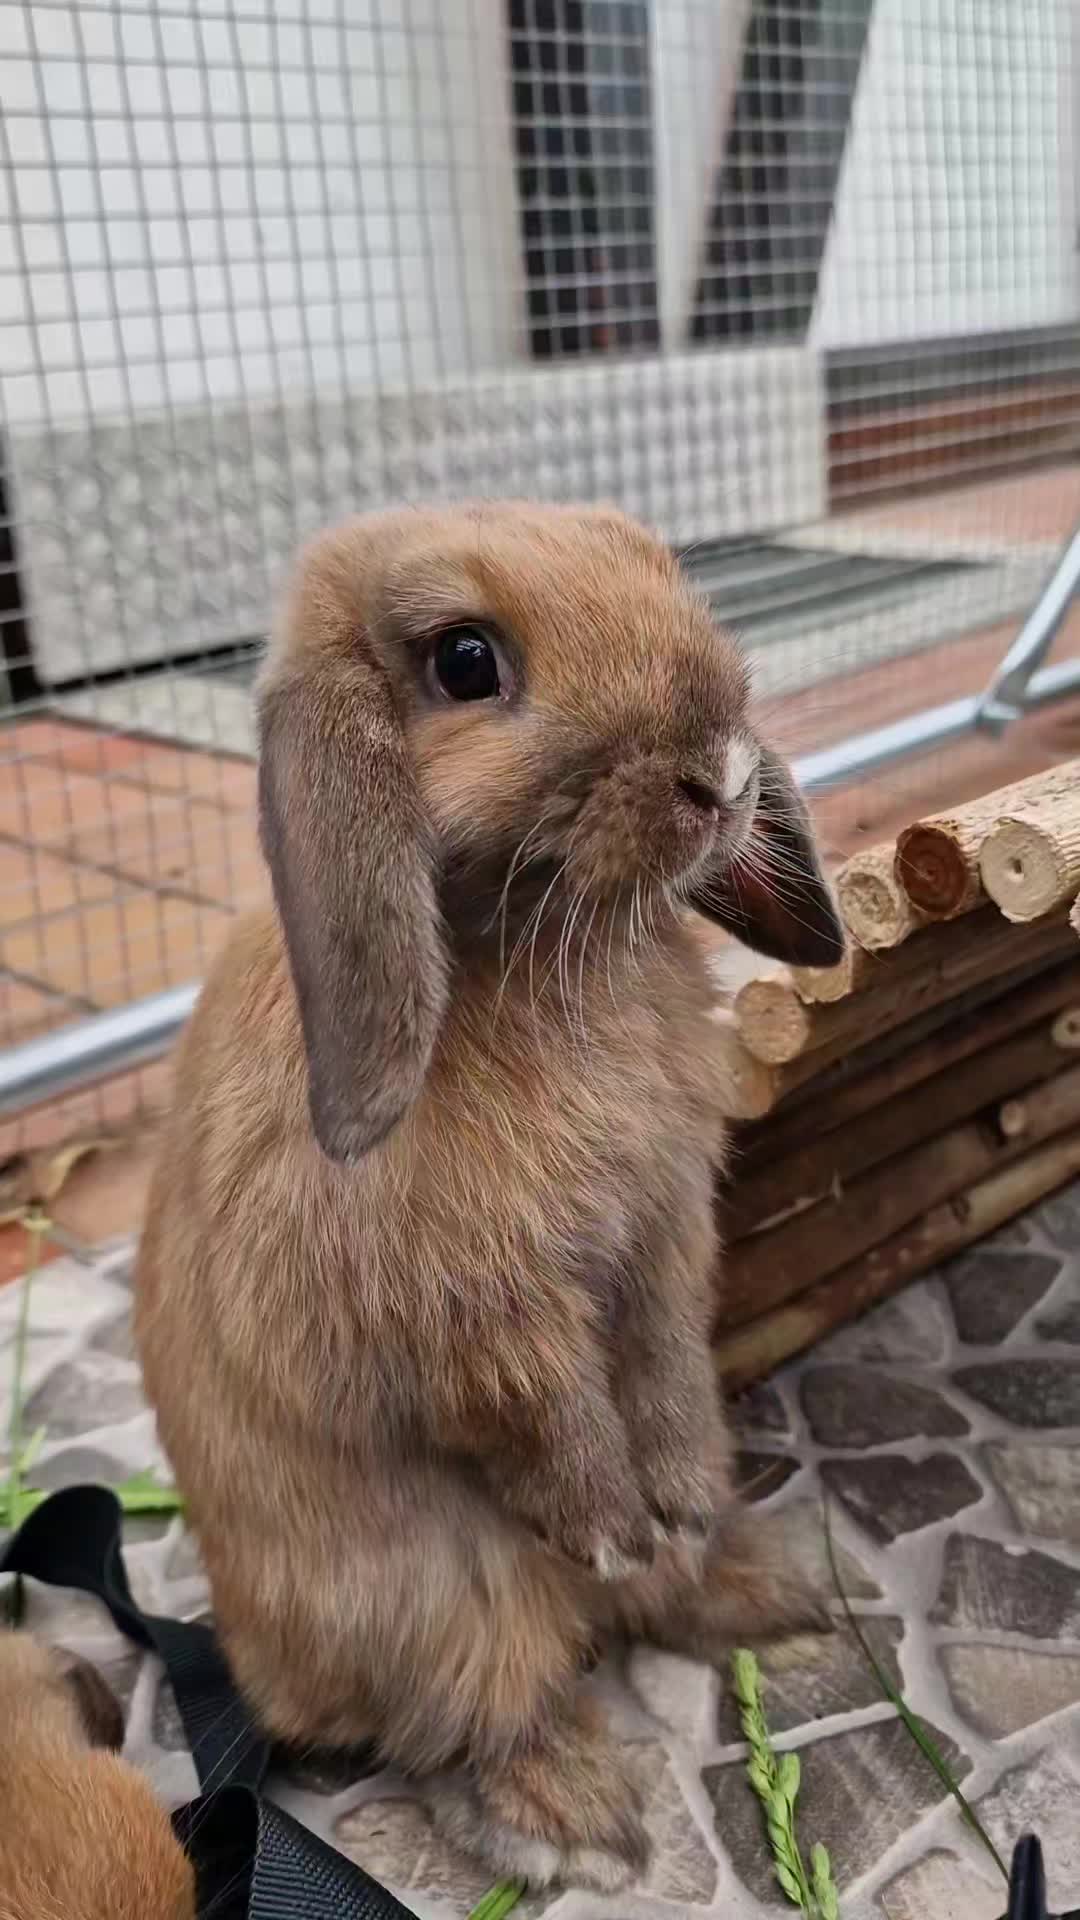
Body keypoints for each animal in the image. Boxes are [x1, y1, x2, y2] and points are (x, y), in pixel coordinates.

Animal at [135, 502, 844, 1892]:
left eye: (661, 568)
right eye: (465, 661)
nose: (724, 772)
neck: (529, 945)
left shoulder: (663, 1234)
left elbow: (663, 1359)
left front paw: (674, 1500)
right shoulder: (477, 1313)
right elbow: (543, 1414)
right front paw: (613, 1522)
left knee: (651, 1607)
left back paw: (761, 1591)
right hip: (446, 1599)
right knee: (479, 1714)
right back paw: (574, 1819)